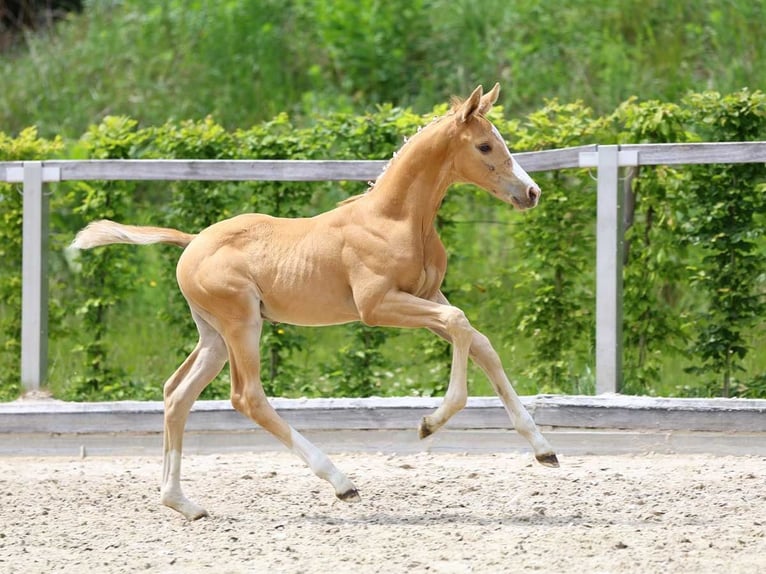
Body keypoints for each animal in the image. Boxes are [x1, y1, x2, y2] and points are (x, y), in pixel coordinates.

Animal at [72, 84, 559, 521]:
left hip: (213, 335)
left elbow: (480, 343)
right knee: (247, 396)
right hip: (242, 323)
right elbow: (459, 324)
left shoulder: (425, 296)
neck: (395, 218)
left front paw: (544, 450)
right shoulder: (378, 306)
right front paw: (428, 424)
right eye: (485, 145)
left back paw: (183, 503)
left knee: (177, 393)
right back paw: (341, 482)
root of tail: (192, 242)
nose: (531, 193)